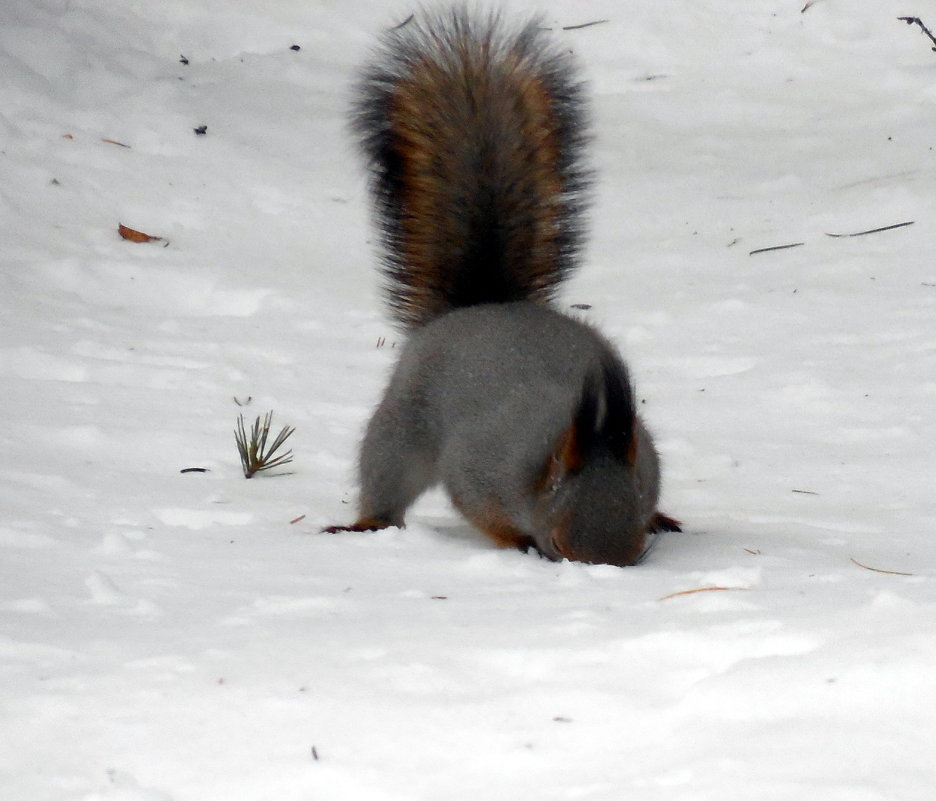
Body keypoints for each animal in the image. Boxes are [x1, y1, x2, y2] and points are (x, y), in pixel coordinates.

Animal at [326, 7, 676, 568]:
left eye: (635, 543)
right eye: (559, 540)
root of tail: (481, 304)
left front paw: (658, 517)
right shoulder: (483, 467)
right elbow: (478, 506)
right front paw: (516, 543)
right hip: (400, 428)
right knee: (384, 476)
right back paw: (368, 522)